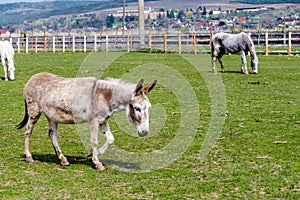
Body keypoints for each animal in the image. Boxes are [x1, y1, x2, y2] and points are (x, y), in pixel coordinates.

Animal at [16, 72, 157, 170]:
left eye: (149, 108)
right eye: (137, 108)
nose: (144, 132)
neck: (105, 96)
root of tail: (32, 78)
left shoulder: (103, 121)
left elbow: (111, 139)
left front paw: (92, 154)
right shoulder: (93, 121)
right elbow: (94, 141)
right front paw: (97, 163)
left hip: (52, 116)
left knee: (52, 134)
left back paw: (63, 159)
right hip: (34, 112)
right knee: (28, 131)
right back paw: (29, 156)